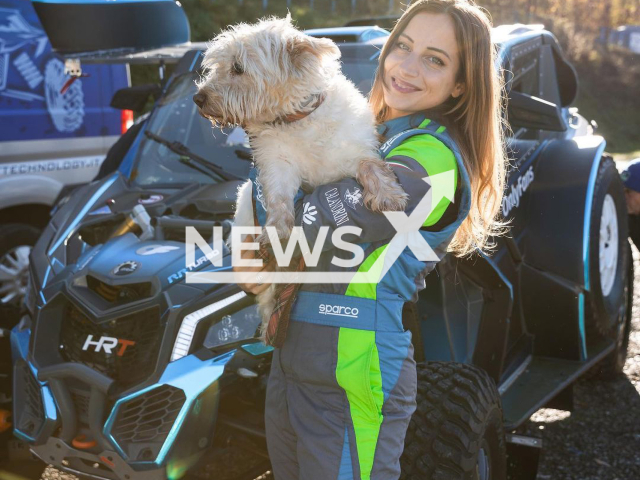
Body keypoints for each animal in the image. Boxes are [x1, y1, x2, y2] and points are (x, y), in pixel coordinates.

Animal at [192, 15, 408, 330]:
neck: (296, 120)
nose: (198, 98)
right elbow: (278, 198)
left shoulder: (352, 152)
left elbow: (369, 165)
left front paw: (387, 193)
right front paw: (276, 231)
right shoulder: (276, 165)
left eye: (238, 68)